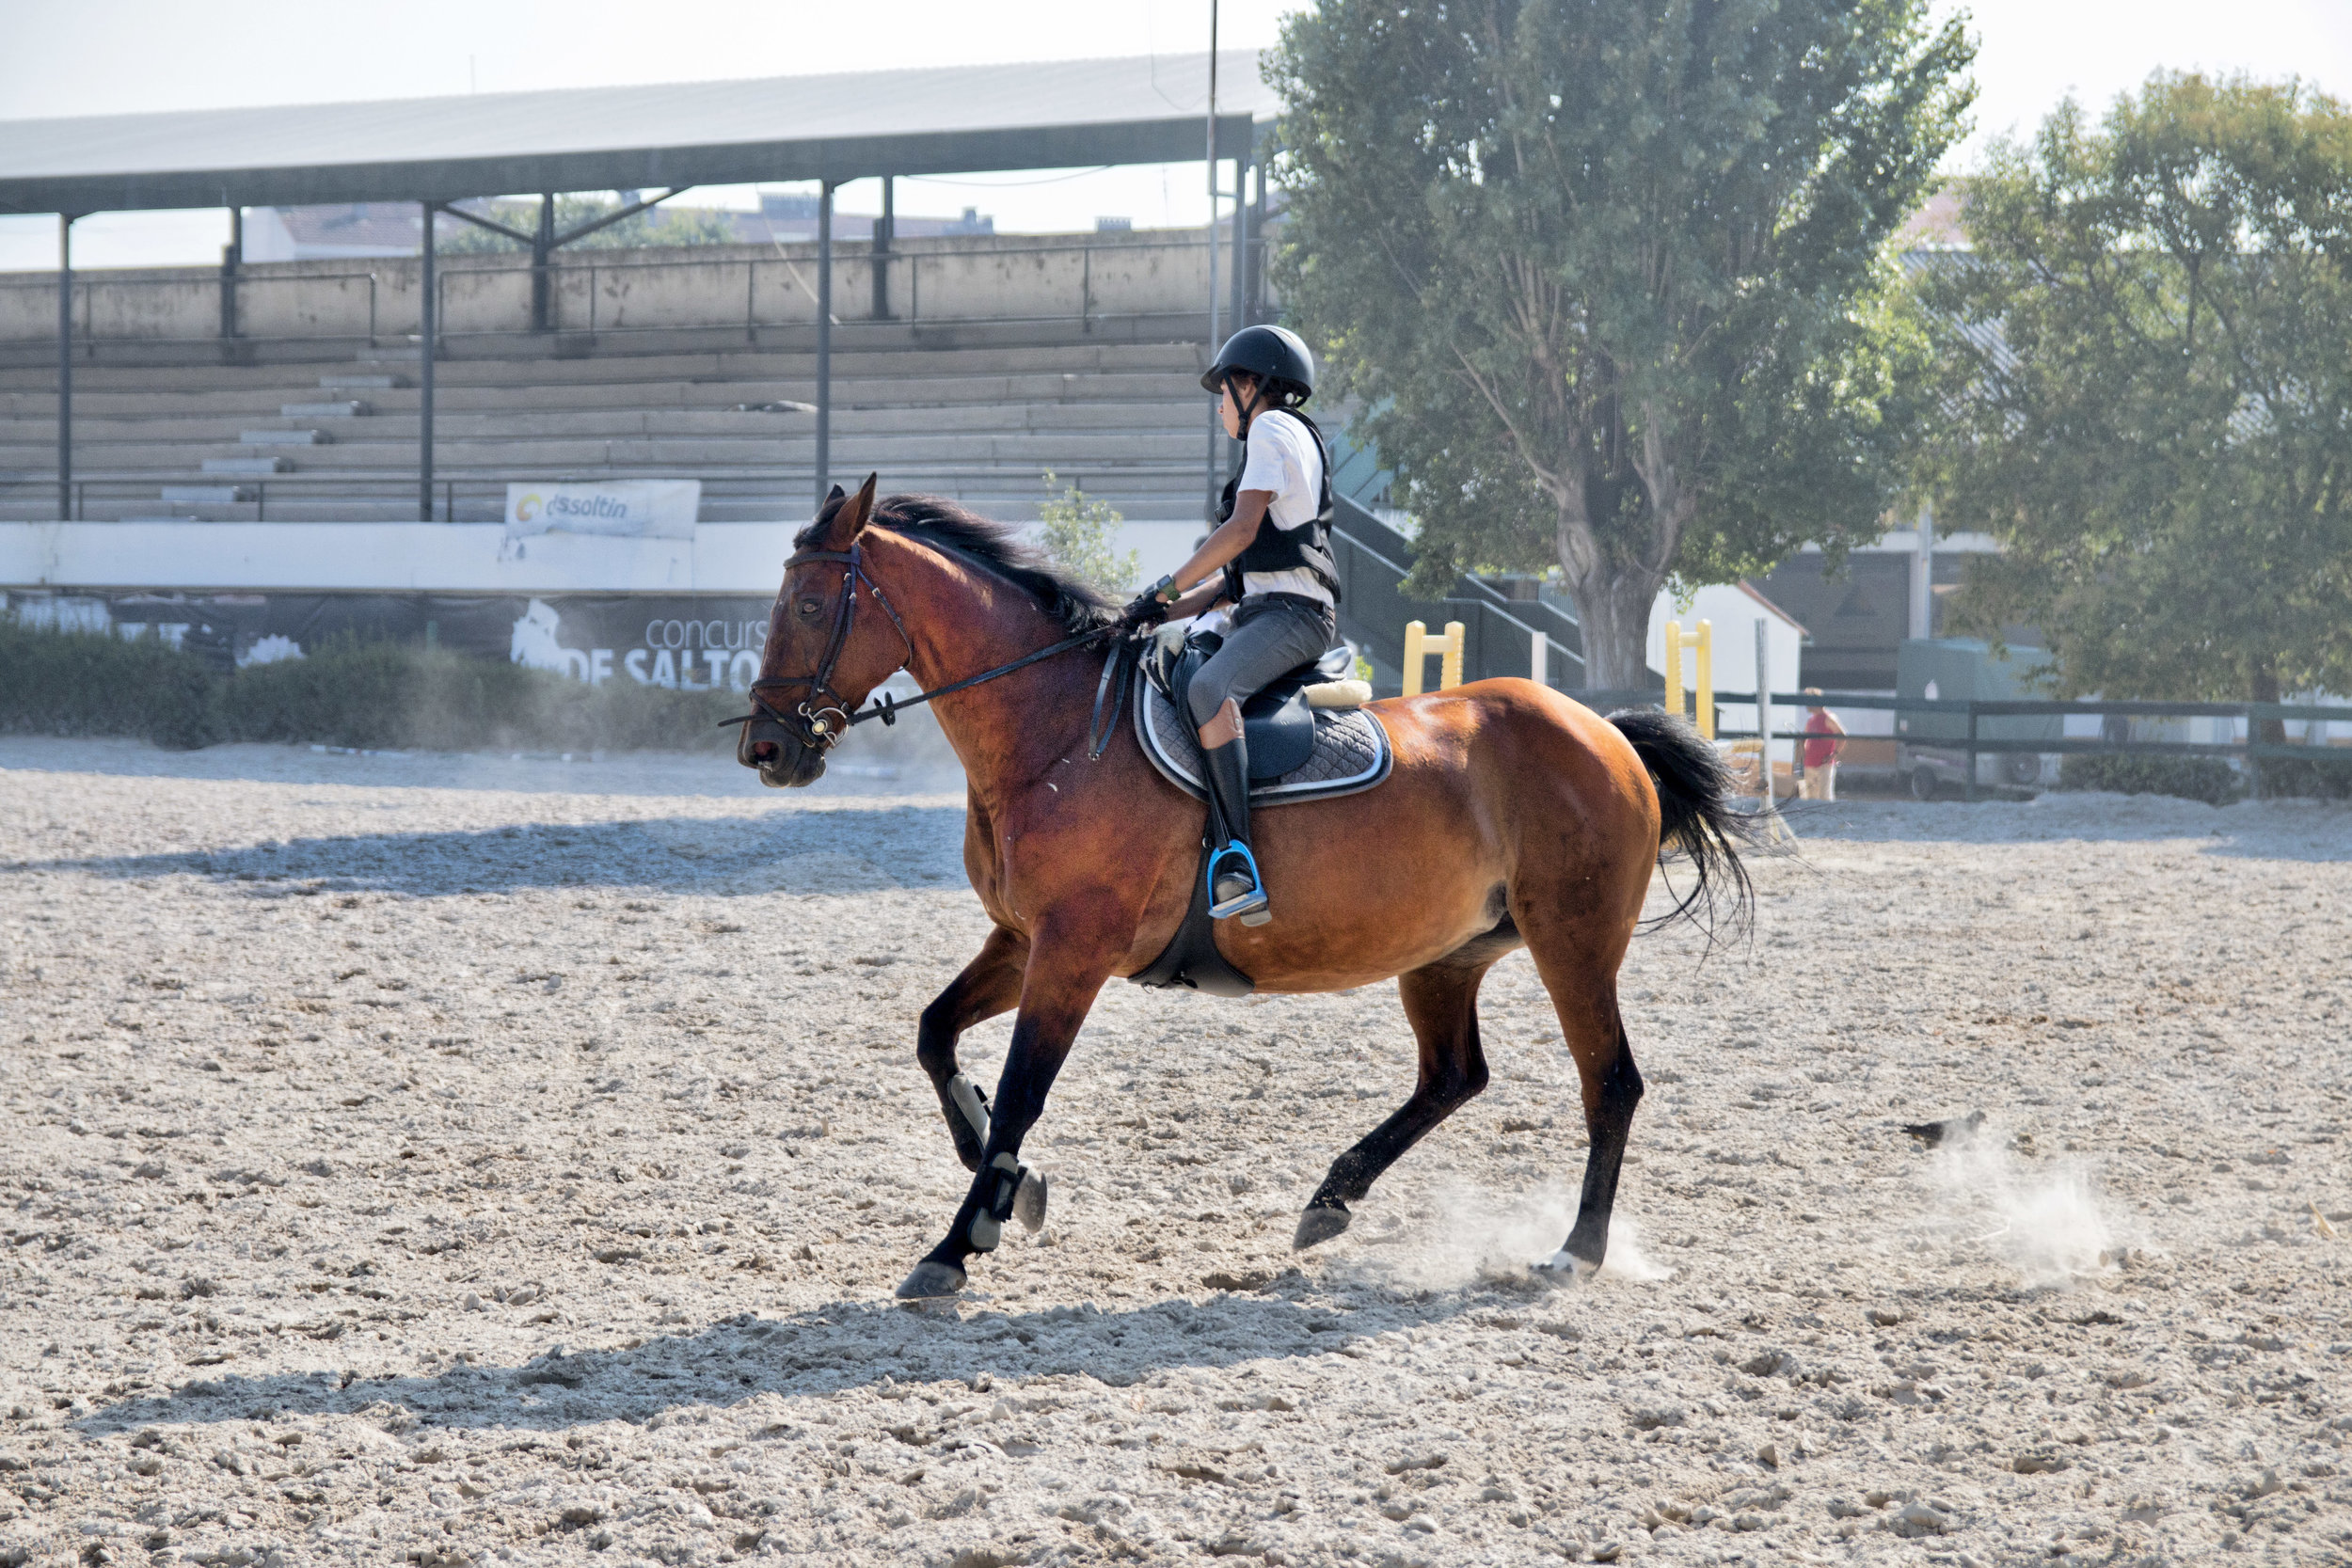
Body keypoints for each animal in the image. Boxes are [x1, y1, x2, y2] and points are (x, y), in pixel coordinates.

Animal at [734, 479, 1750, 1297]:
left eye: (813, 602)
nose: (767, 750)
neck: (1055, 732)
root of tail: (1606, 730)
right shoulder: (1020, 939)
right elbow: (935, 1034)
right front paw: (1008, 1184)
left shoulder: (1072, 950)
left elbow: (1023, 1089)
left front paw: (957, 1240)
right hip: (1447, 952)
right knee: (1454, 1074)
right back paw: (1332, 1198)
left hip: (1571, 940)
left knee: (1608, 1082)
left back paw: (1575, 1251)